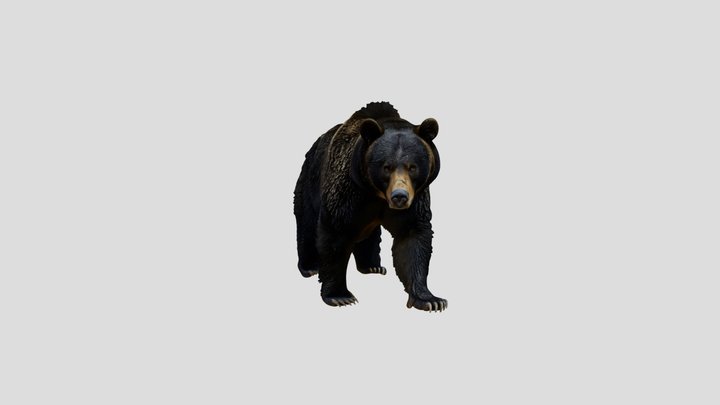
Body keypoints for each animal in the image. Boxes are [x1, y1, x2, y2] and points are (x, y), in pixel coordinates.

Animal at [293, 102, 447, 312]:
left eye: (412, 167)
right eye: (386, 167)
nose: (400, 196)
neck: (375, 193)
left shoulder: (415, 201)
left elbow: (413, 238)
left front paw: (430, 300)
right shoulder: (347, 191)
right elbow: (335, 233)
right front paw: (339, 296)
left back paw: (372, 266)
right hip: (310, 179)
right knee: (307, 222)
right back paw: (309, 267)